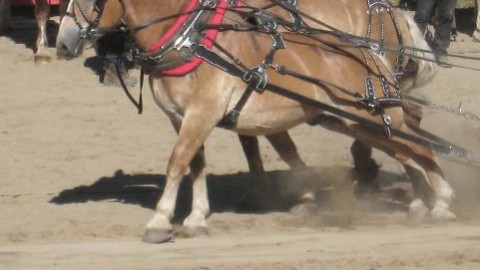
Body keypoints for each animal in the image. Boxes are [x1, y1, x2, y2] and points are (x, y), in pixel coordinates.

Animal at [56, 0, 454, 244]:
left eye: (91, 0)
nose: (60, 43)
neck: (192, 40)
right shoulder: (183, 117)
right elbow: (200, 163)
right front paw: (198, 217)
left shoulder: (204, 111)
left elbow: (178, 162)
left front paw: (159, 221)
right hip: (355, 118)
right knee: (404, 145)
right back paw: (424, 198)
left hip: (370, 113)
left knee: (416, 144)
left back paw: (440, 200)